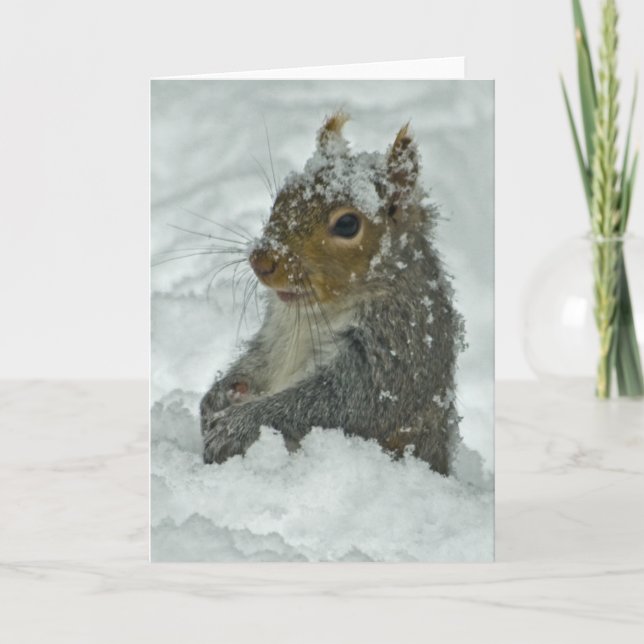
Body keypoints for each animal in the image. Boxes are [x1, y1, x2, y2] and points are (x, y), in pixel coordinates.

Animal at [200, 113, 465, 475]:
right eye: (281, 197)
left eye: (347, 224)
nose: (261, 260)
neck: (315, 308)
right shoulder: (274, 336)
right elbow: (257, 361)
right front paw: (216, 398)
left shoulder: (395, 346)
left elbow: (339, 403)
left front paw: (236, 425)